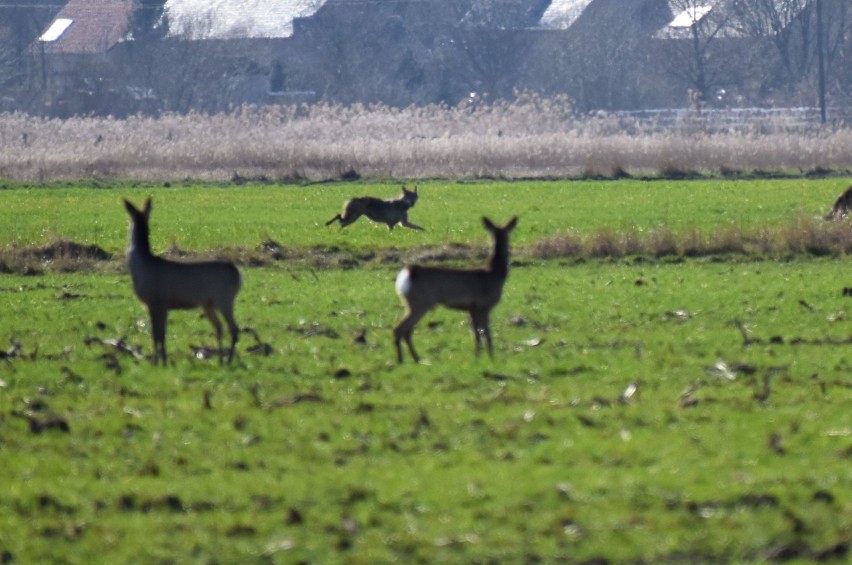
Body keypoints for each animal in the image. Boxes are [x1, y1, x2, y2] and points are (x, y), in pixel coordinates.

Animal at [120, 198, 241, 366]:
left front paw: (158, 362)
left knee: (234, 329)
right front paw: (161, 361)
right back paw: (221, 360)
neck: (142, 265)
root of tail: (238, 274)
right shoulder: (158, 304)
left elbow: (157, 334)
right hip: (208, 303)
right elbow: (159, 334)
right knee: (219, 327)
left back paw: (228, 361)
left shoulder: (157, 301)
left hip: (224, 298)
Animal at [392, 214, 520, 364]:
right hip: (420, 303)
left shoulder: (472, 308)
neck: (494, 274)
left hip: (412, 303)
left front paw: (482, 356)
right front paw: (486, 357)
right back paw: (403, 360)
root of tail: (408, 272)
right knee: (399, 329)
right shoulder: (481, 305)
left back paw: (415, 359)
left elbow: (479, 333)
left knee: (406, 330)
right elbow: (483, 333)